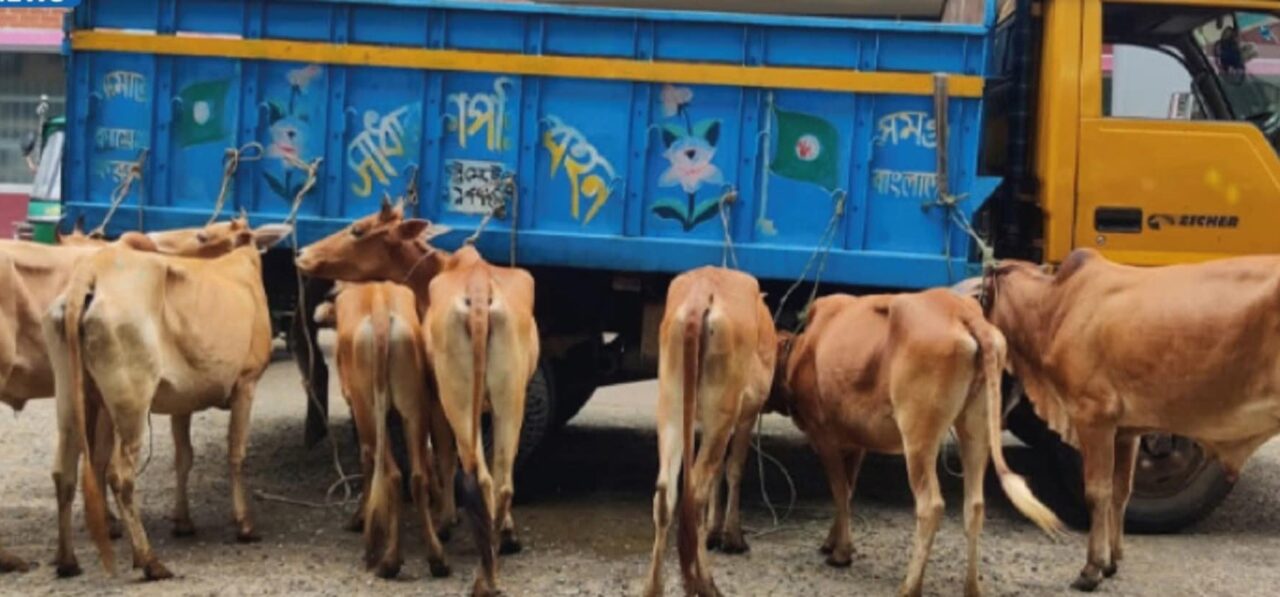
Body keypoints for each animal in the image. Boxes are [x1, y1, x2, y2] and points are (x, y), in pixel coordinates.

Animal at [43, 223, 291, 580]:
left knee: (64, 471)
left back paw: (67, 561)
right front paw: (244, 524)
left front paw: (183, 521)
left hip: (70, 397)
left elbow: (184, 458)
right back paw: (149, 560)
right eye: (202, 236)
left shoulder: (183, 401)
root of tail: (91, 273)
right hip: (131, 402)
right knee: (120, 475)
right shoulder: (246, 383)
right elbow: (236, 453)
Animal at [327, 281, 450, 579]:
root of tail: (379, 306)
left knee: (391, 474)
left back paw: (389, 559)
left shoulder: (357, 412)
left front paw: (358, 518)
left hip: (369, 412)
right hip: (413, 408)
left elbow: (366, 463)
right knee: (416, 476)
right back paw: (436, 556)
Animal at [643, 267, 776, 597]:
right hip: (723, 410)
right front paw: (732, 536)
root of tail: (701, 294)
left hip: (671, 403)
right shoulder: (746, 415)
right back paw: (706, 583)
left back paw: (654, 587)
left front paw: (717, 532)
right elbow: (734, 469)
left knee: (666, 492)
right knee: (696, 493)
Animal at [766, 289, 1062, 597]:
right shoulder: (856, 444)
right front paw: (833, 542)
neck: (805, 347)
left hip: (918, 436)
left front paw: (841, 553)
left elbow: (839, 492)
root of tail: (962, 311)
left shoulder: (824, 438)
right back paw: (971, 587)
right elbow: (847, 491)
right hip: (975, 429)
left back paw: (910, 586)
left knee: (930, 506)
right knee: (975, 505)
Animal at [979, 247, 1280, 592]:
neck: (1055, 308)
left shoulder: (1093, 417)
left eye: (983, 296)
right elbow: (1120, 492)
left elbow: (1097, 493)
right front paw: (1112, 561)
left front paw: (1092, 569)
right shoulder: (1127, 432)